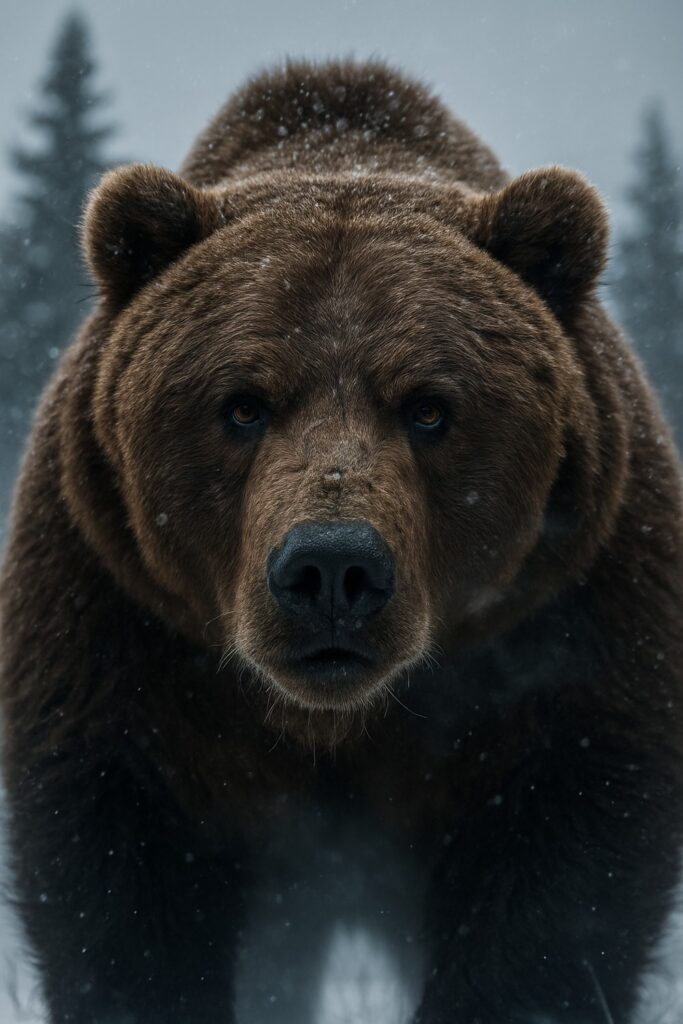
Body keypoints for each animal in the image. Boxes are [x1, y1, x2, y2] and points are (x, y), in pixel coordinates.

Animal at [1, 57, 683, 1024]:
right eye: (242, 403)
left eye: (429, 406)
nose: (331, 568)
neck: (338, 722)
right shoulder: (125, 628)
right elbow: (125, 885)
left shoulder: (566, 617)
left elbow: (558, 887)